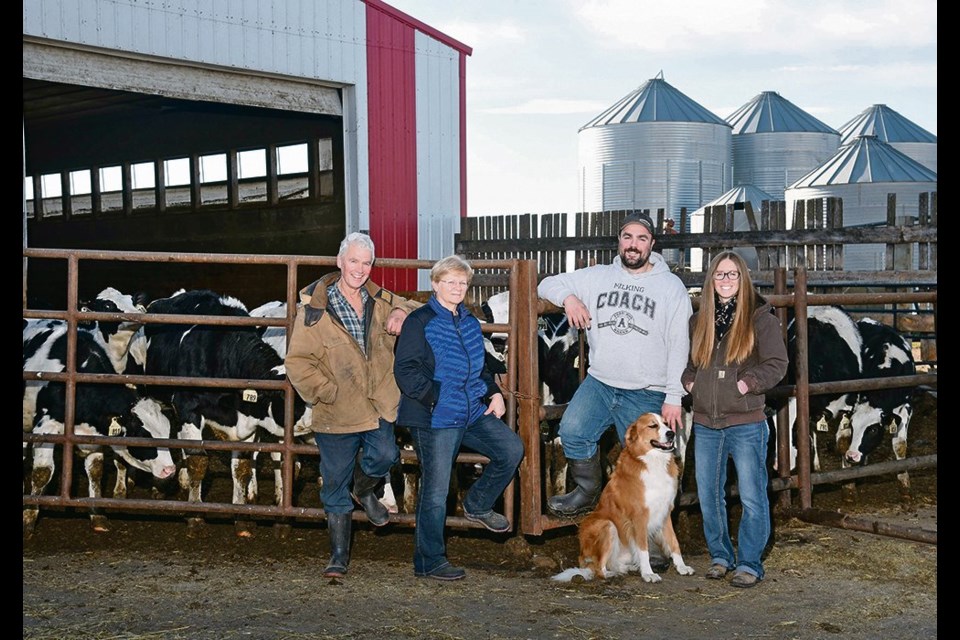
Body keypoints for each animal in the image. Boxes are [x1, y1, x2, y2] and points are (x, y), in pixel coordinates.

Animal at [552, 412, 692, 584]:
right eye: (653, 425)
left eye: (666, 423)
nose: (671, 433)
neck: (652, 461)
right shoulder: (639, 516)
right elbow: (643, 549)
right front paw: (648, 573)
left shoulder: (665, 512)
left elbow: (674, 542)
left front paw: (681, 567)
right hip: (607, 525)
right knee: (598, 568)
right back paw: (610, 574)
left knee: (615, 564)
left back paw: (628, 568)